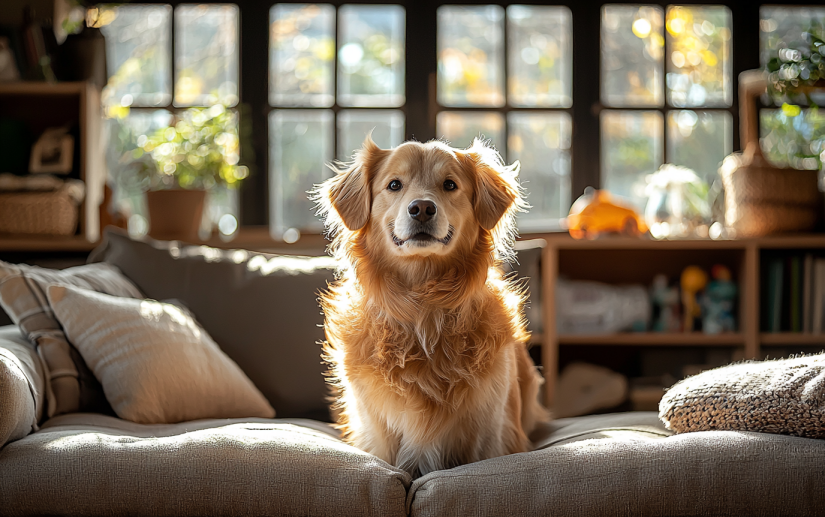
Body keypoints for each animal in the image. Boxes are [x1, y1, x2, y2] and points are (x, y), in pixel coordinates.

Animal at [314, 136, 548, 476]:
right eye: (394, 184)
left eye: (450, 184)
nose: (422, 208)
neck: (423, 305)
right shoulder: (378, 437)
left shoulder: (490, 433)